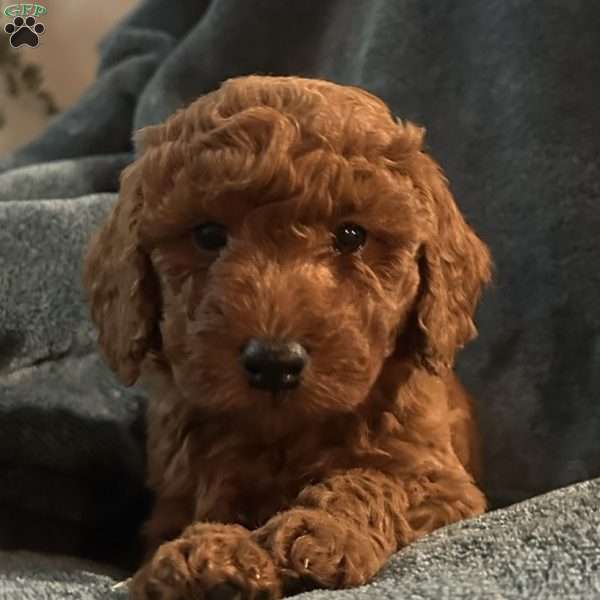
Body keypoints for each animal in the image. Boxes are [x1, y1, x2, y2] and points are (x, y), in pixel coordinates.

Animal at [82, 76, 490, 600]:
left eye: (352, 235)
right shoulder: (176, 497)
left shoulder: (444, 485)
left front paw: (323, 532)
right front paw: (207, 556)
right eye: (208, 235)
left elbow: (376, 481)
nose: (275, 362)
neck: (283, 435)